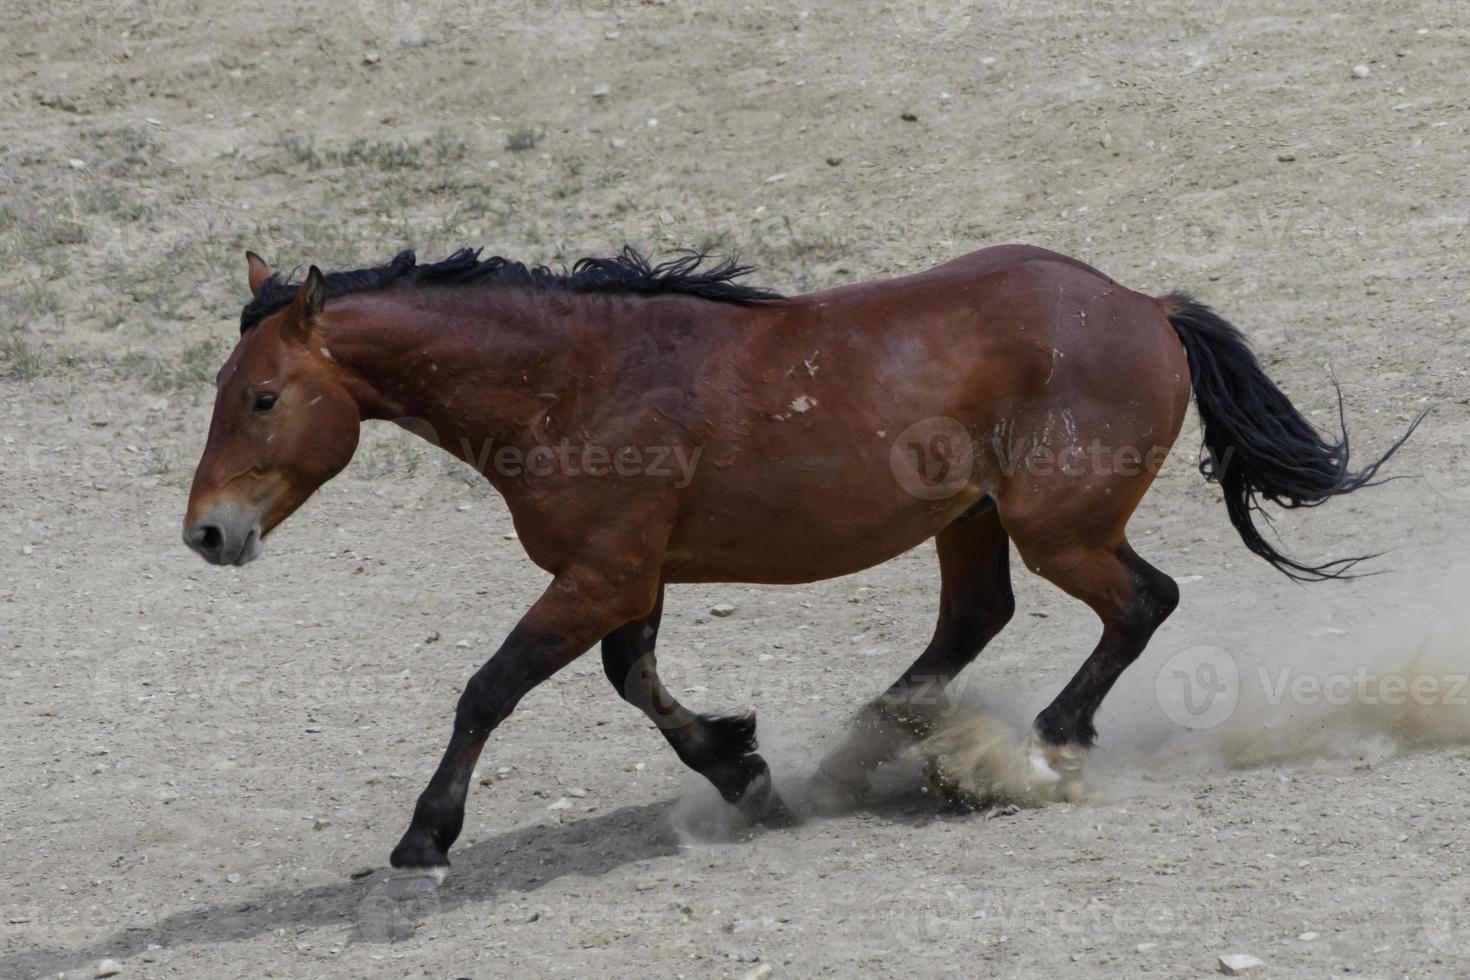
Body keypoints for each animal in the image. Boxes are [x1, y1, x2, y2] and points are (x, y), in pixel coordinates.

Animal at [183, 243, 1411, 887]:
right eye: (224, 390)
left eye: (263, 397)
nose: (207, 534)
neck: (573, 379)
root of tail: (1146, 306)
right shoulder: (629, 577)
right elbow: (637, 683)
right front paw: (745, 771)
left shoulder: (600, 575)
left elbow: (490, 687)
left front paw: (424, 839)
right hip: (972, 517)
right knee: (976, 618)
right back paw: (883, 743)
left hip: (1058, 523)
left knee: (1142, 602)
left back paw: (1035, 749)